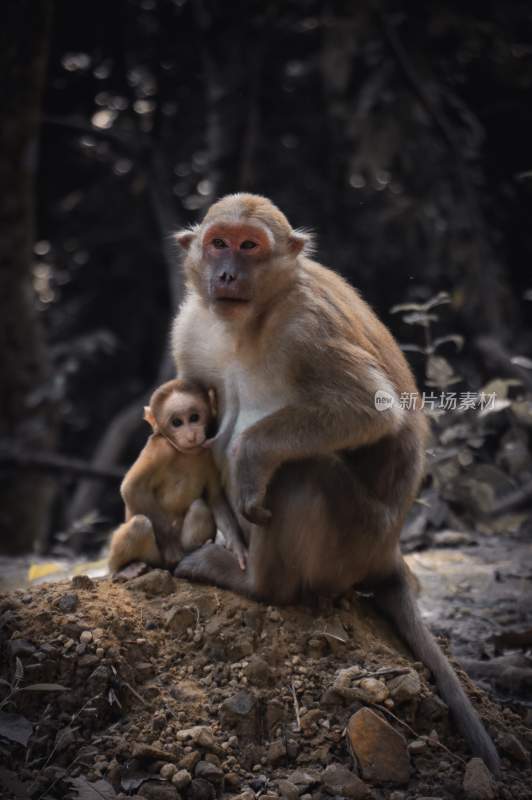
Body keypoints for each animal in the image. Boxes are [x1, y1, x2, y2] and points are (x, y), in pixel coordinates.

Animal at [111, 380, 248, 576]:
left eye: (194, 418)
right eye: (177, 422)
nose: (191, 435)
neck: (183, 453)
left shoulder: (209, 454)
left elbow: (215, 497)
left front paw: (237, 548)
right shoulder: (159, 450)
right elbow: (131, 488)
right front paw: (171, 548)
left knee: (200, 506)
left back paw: (198, 548)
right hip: (154, 558)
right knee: (139, 523)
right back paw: (125, 568)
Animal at [174, 191, 498, 772]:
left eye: (249, 246)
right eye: (218, 243)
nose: (227, 273)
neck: (249, 322)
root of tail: (390, 551)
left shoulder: (308, 327)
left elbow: (369, 409)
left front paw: (248, 458)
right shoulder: (192, 328)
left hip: (351, 540)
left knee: (301, 470)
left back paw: (258, 583)